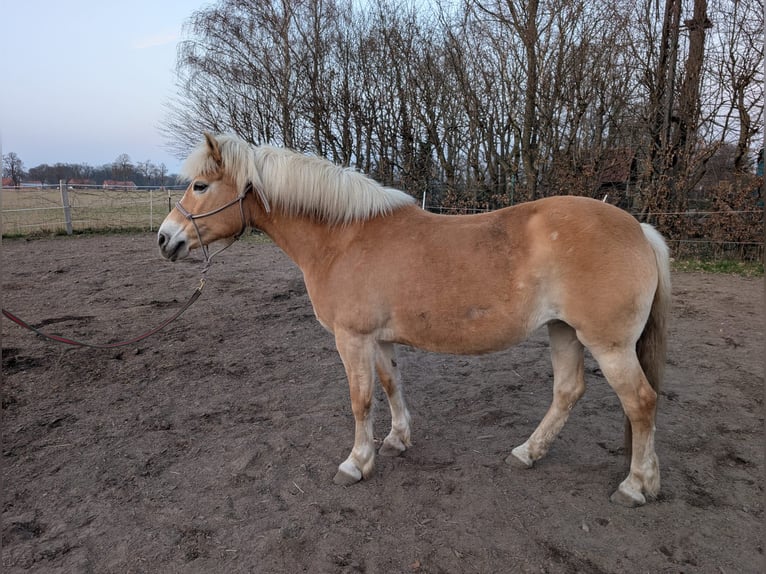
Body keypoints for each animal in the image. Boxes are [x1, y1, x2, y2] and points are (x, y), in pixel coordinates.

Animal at [158, 133, 671, 507]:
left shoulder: (352, 339)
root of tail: (638, 229)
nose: (165, 239)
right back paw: (527, 454)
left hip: (608, 345)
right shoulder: (379, 339)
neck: (343, 239)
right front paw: (397, 440)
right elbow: (390, 386)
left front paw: (356, 462)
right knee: (567, 392)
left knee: (642, 403)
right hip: (564, 331)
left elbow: (361, 400)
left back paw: (636, 486)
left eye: (200, 186)